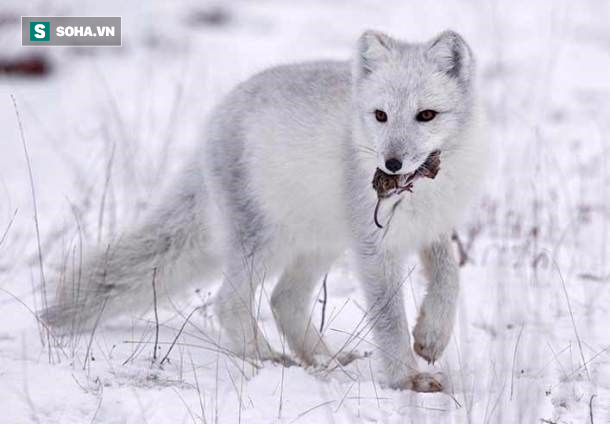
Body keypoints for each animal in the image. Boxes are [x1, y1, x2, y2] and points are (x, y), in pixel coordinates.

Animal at [45, 30, 484, 394]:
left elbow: (449, 279)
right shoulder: (374, 249)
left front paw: (431, 337)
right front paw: (407, 379)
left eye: (426, 115)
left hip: (321, 242)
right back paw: (269, 358)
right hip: (265, 241)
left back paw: (325, 359)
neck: (422, 190)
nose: (391, 164)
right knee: (230, 302)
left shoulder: (434, 227)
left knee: (282, 299)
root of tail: (217, 115)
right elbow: (389, 319)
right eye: (380, 115)